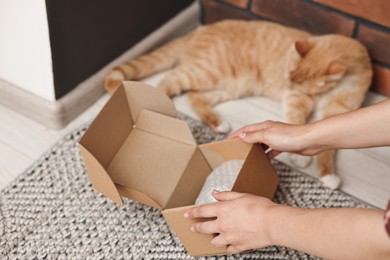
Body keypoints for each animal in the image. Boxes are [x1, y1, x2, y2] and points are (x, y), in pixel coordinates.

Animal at [103, 19, 372, 188]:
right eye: (287, 78)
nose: (288, 83)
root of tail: (196, 32)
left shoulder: (337, 111)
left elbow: (328, 146)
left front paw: (328, 174)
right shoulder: (296, 99)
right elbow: (297, 123)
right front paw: (301, 159)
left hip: (235, 82)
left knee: (194, 96)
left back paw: (217, 123)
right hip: (208, 71)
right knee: (166, 82)